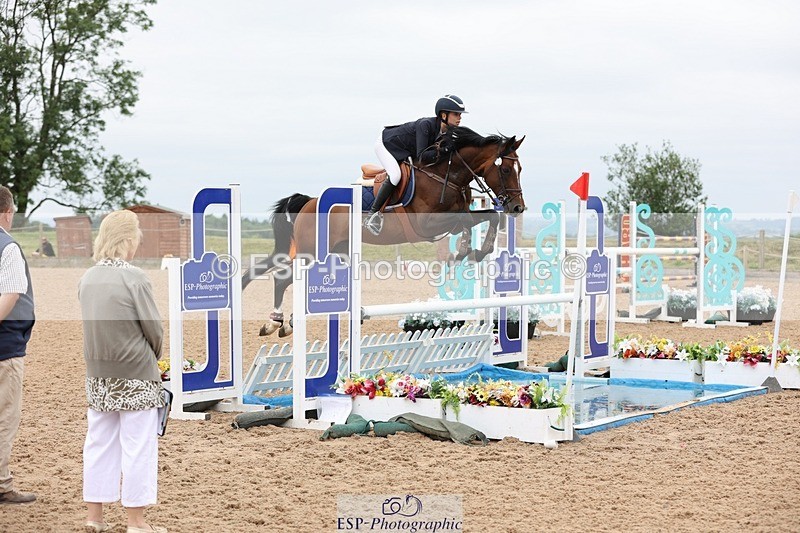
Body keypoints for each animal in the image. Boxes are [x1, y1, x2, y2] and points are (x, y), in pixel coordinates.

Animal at [243, 126, 526, 337]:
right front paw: (467, 249)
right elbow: (468, 220)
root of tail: (309, 202)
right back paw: (275, 323)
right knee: (282, 279)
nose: (517, 207)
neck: (447, 174)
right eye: (504, 169)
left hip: (335, 252)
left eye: (519, 169)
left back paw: (288, 322)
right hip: (310, 253)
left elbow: (488, 216)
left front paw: (476, 251)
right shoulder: (427, 225)